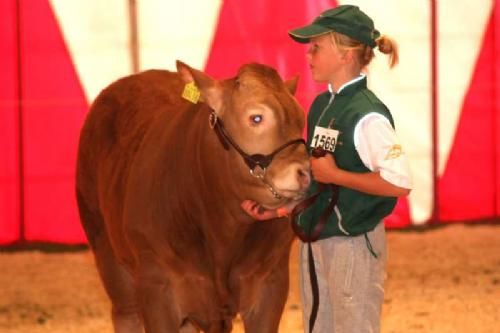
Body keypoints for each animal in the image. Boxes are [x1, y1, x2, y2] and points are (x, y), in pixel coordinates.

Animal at [76, 60, 310, 332]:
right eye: (256, 117)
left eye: (301, 118)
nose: (306, 172)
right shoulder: (157, 287)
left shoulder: (271, 282)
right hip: (108, 254)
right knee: (126, 313)